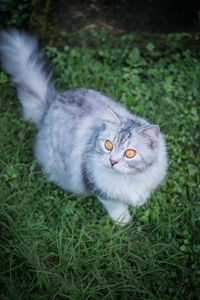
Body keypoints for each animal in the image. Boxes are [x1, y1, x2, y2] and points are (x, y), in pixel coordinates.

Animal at [0, 29, 167, 225]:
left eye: (130, 153)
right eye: (108, 145)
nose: (112, 161)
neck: (131, 178)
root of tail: (52, 102)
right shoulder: (96, 185)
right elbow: (115, 204)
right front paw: (123, 220)